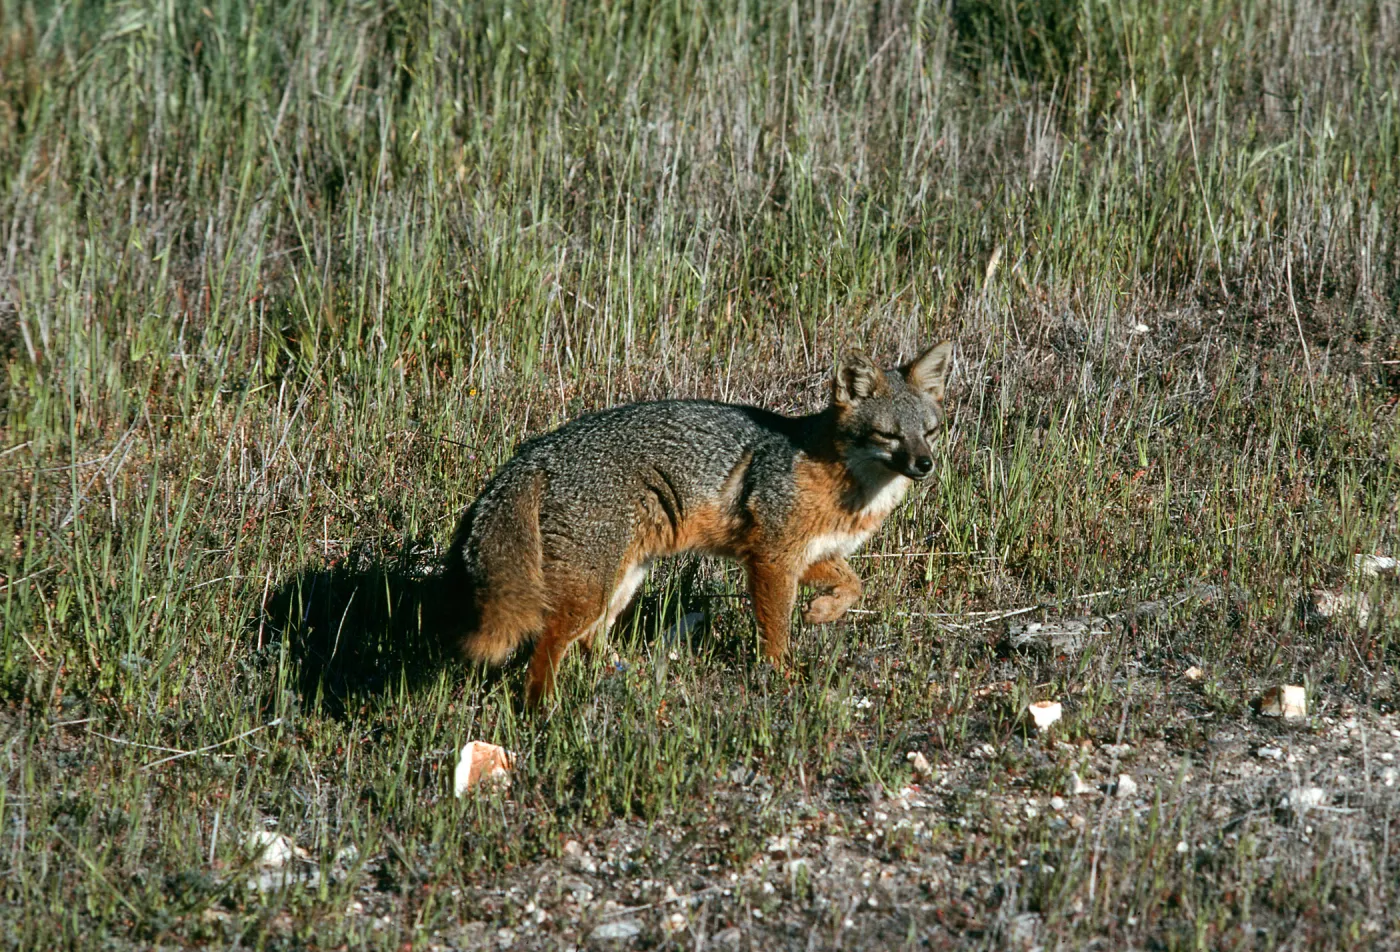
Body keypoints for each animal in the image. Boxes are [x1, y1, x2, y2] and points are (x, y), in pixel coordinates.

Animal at [442, 341, 954, 707]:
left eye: (928, 432)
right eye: (889, 435)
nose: (925, 464)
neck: (846, 486)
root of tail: (535, 452)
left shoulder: (809, 555)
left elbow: (855, 584)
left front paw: (822, 611)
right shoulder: (770, 558)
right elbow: (776, 630)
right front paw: (783, 675)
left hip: (621, 581)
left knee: (589, 641)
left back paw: (625, 678)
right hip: (591, 588)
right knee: (548, 644)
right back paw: (542, 711)